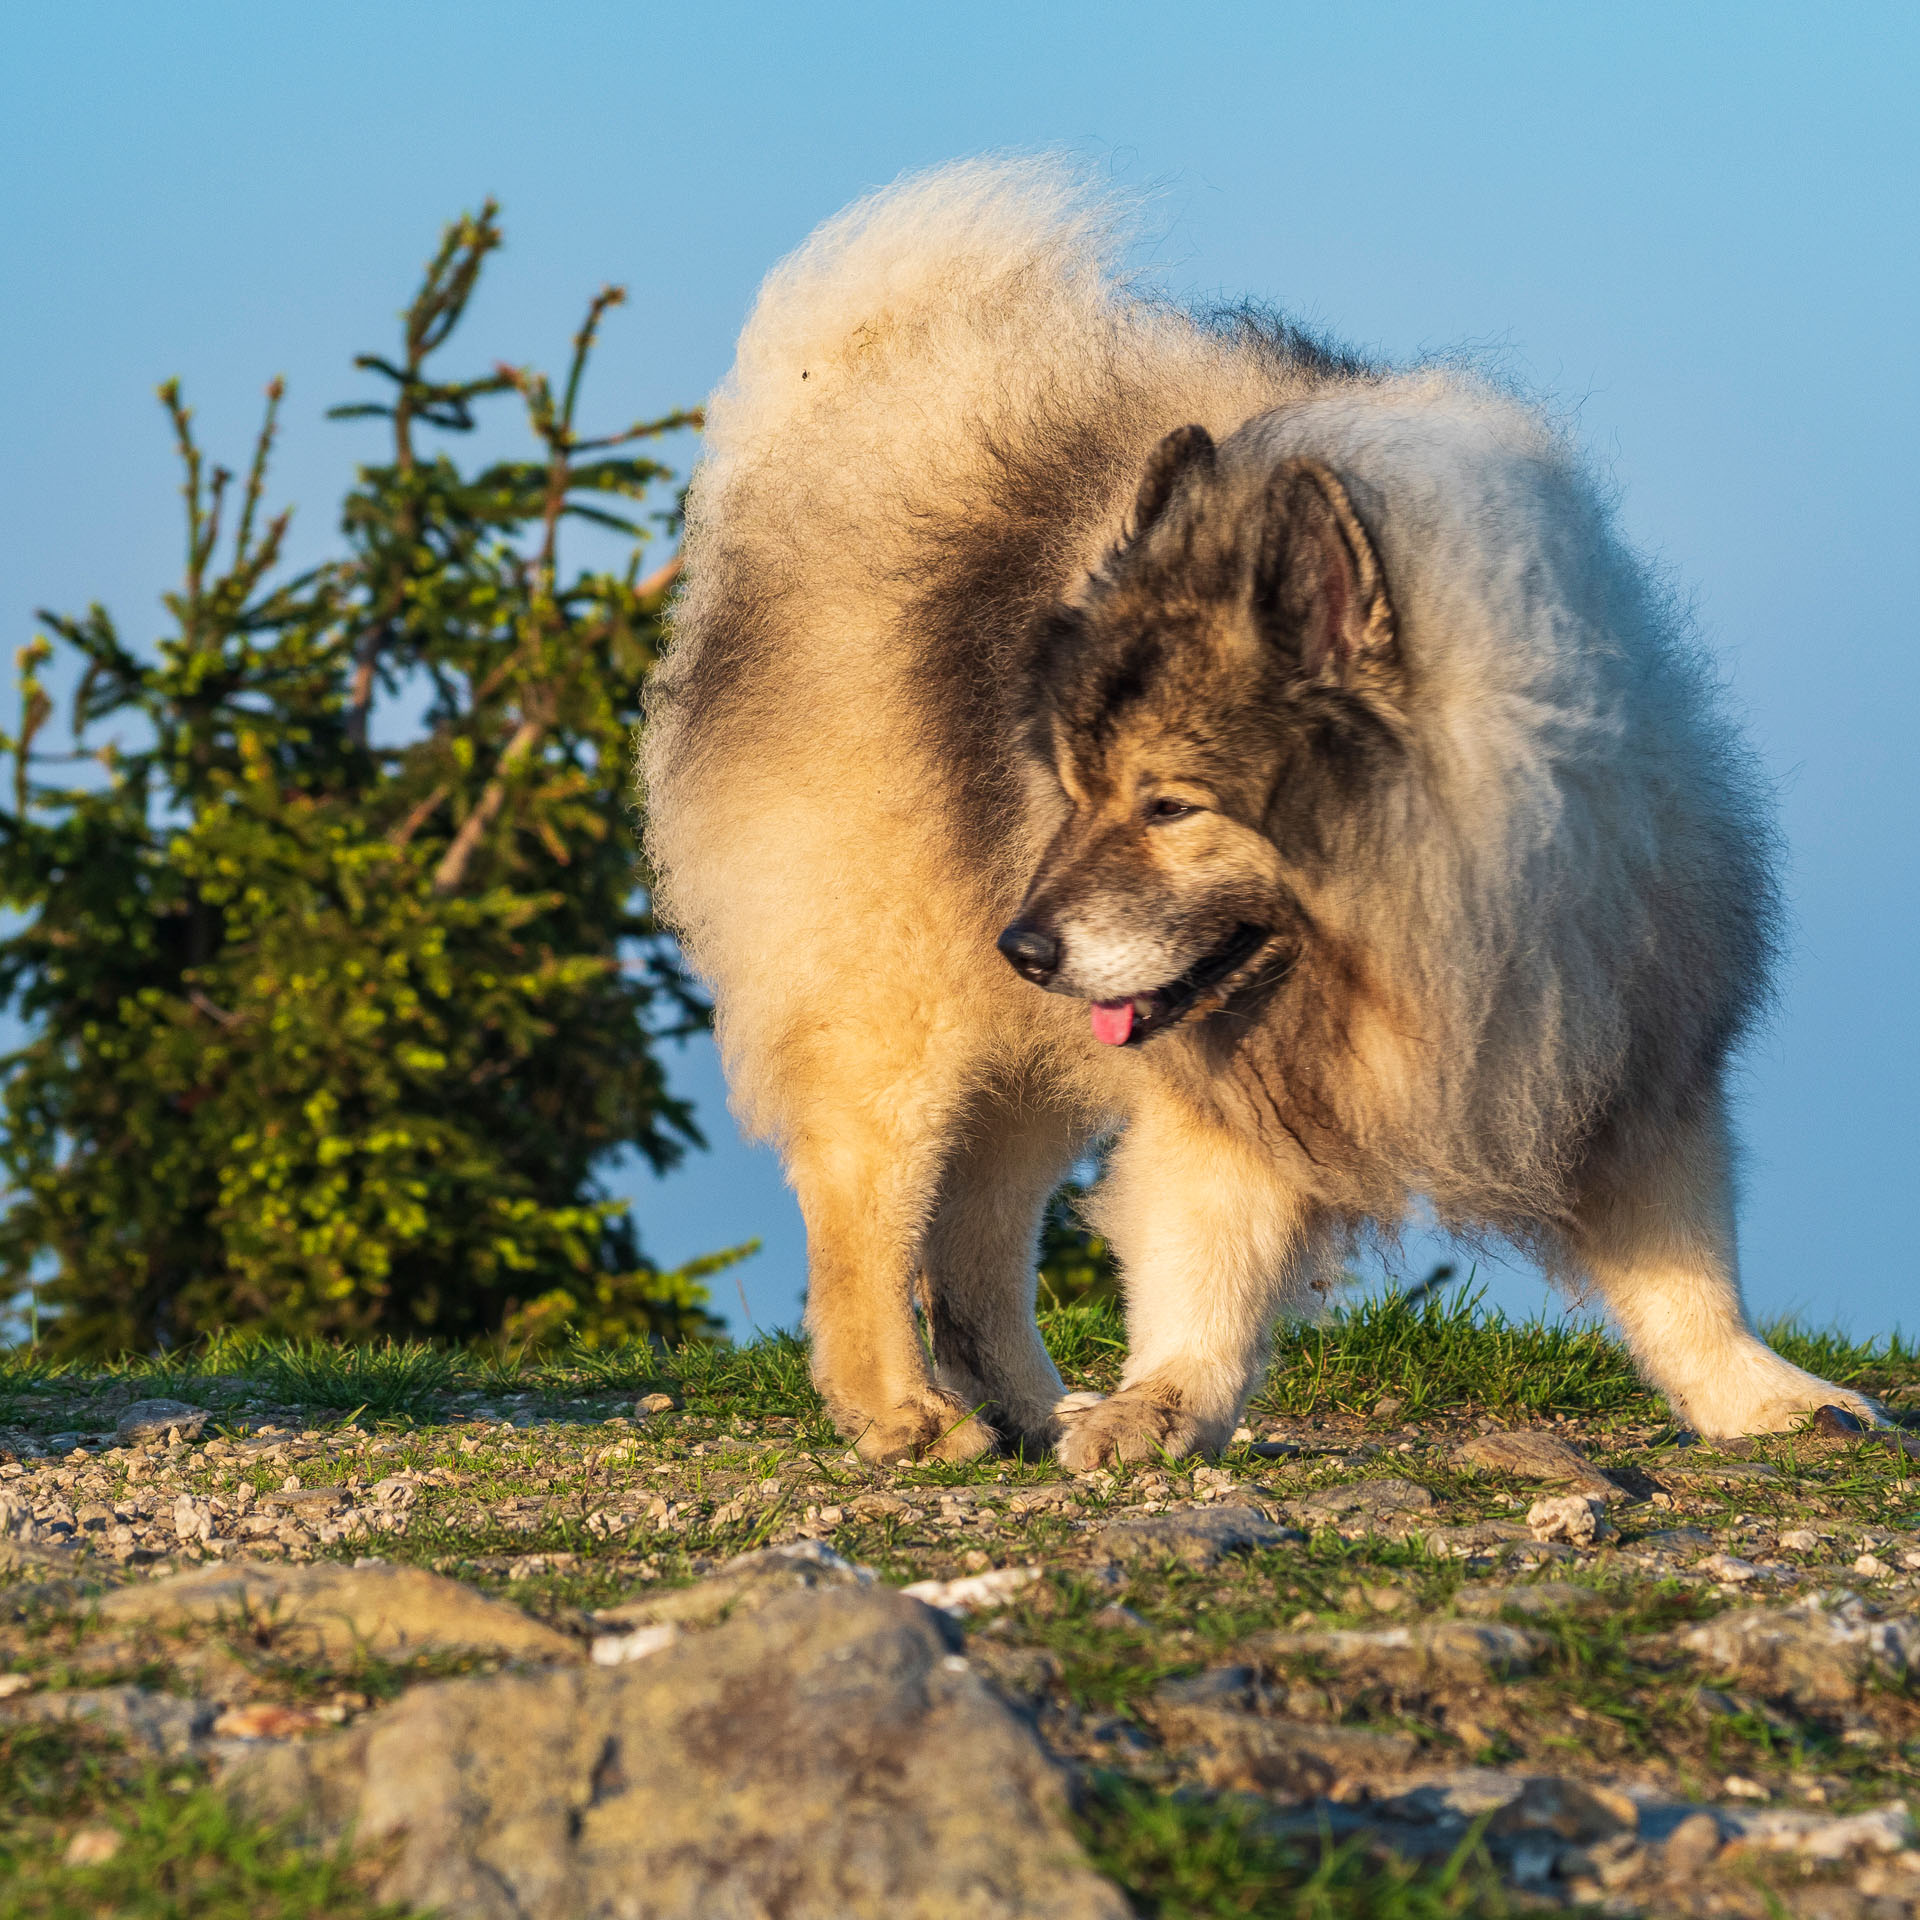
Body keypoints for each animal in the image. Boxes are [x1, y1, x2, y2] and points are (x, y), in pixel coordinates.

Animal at [641, 153, 1873, 1466]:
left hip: (1034, 1029)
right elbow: (1207, 1257)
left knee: (979, 1231)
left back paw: (1027, 1403)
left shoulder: (1613, 1042)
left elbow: (1687, 1265)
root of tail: (849, 408)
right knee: (868, 1198)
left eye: (1169, 805)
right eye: (1074, 790)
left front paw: (1763, 1395)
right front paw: (1167, 1401)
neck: (1420, 934)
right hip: (899, 991)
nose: (1024, 942)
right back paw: (902, 1410)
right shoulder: (1219, 1094)